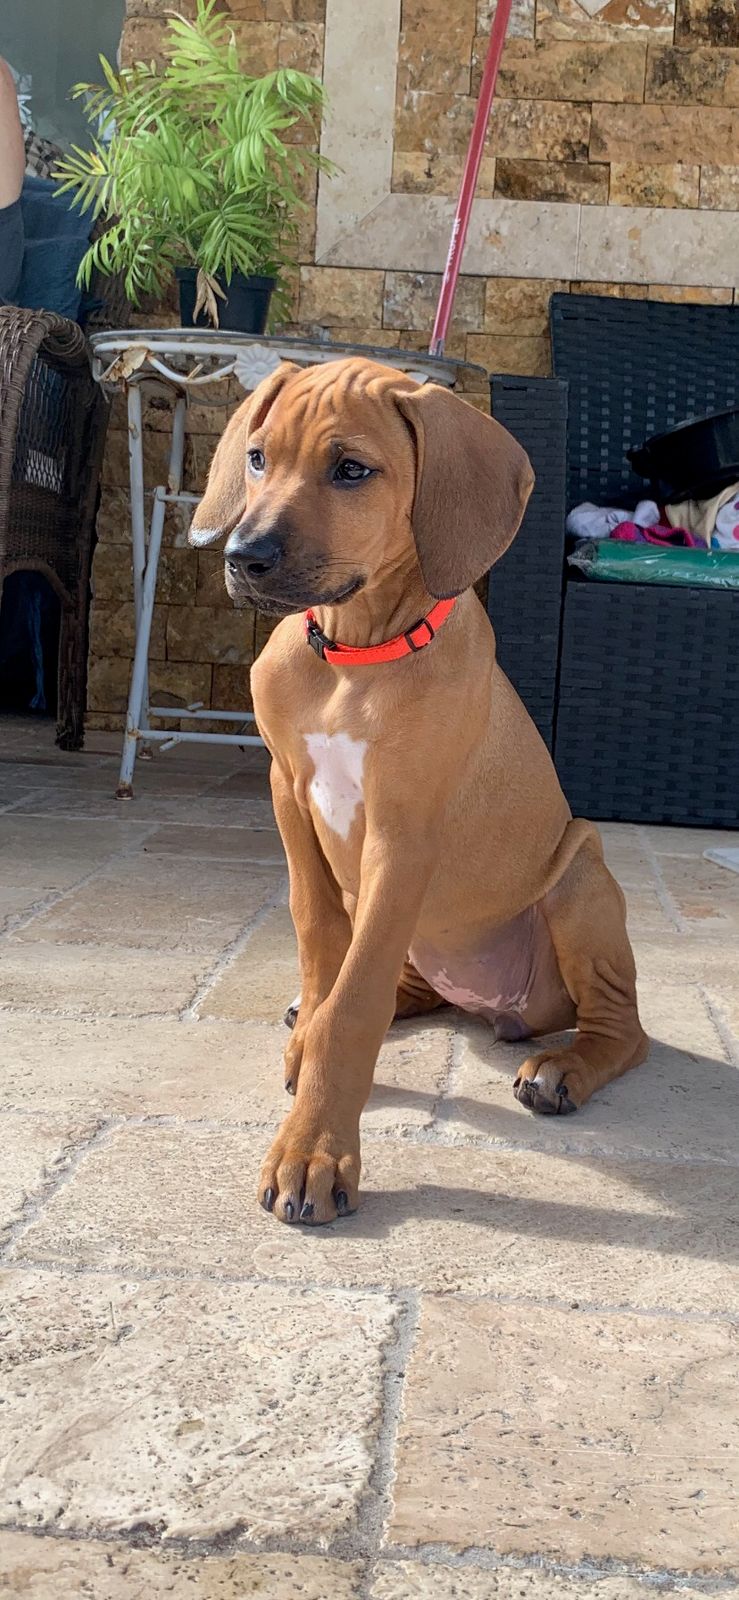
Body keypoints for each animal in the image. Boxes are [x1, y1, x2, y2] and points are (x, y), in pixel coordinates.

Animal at [190, 357, 648, 1226]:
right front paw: (310, 1028)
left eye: (351, 470)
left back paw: (563, 1069)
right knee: (394, 978)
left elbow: (353, 1005)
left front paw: (314, 1150)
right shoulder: (288, 796)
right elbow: (319, 940)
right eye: (258, 458)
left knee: (622, 1028)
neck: (355, 655)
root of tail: (500, 1009)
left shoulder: (402, 836)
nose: (242, 555)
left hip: (579, 877)